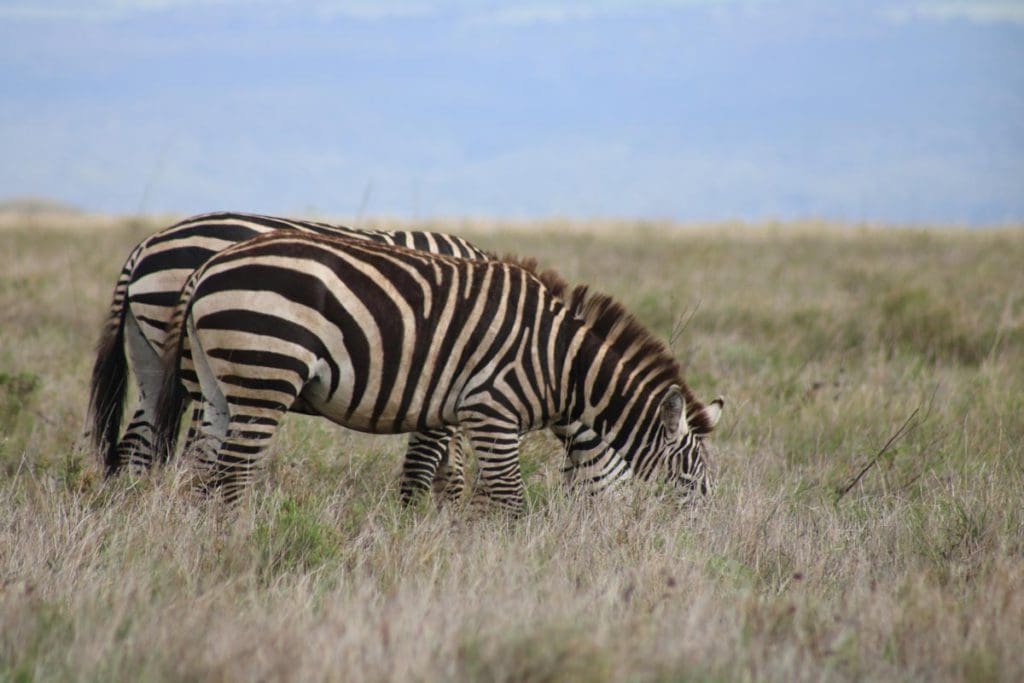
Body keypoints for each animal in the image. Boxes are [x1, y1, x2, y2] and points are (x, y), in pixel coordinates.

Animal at [155, 232, 724, 509]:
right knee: (233, 474)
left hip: (219, 384)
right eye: (690, 479)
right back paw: (239, 540)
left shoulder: (469, 419)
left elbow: (472, 492)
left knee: (203, 471)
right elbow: (509, 501)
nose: (699, 540)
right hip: (266, 372)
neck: (562, 364)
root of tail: (211, 265)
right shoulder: (492, 412)